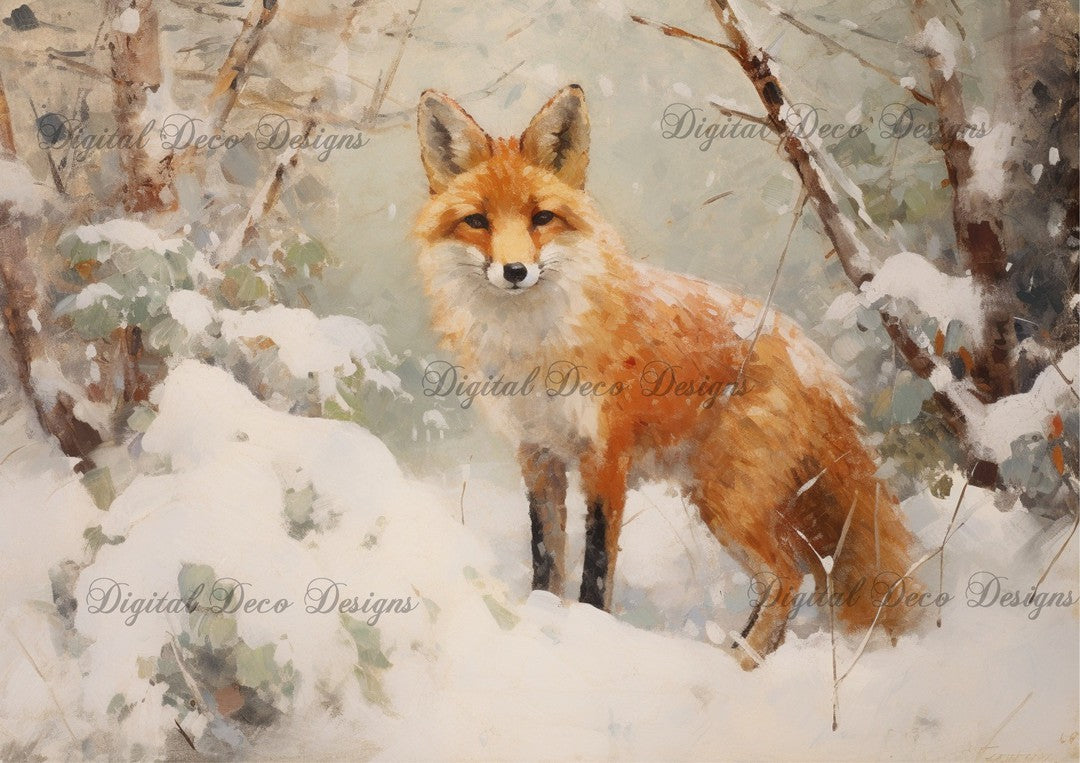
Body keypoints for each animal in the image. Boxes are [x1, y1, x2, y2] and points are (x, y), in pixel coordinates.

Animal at [413, 84, 923, 669]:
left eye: (541, 218)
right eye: (478, 221)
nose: (516, 271)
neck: (533, 344)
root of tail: (817, 361)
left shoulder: (605, 457)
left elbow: (594, 571)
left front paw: (592, 636)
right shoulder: (537, 453)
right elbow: (545, 559)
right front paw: (544, 624)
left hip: (726, 498)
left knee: (790, 577)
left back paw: (738, 667)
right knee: (806, 574)